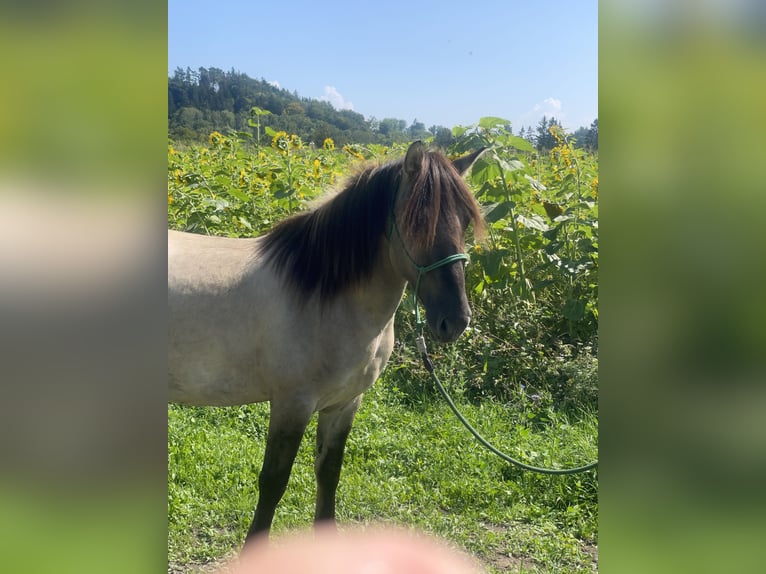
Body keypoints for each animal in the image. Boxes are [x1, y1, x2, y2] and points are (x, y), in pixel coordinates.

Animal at [170, 142, 486, 548]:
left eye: (465, 221)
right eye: (417, 223)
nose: (455, 320)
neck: (323, 294)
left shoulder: (344, 404)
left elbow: (329, 472)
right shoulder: (292, 405)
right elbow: (273, 482)